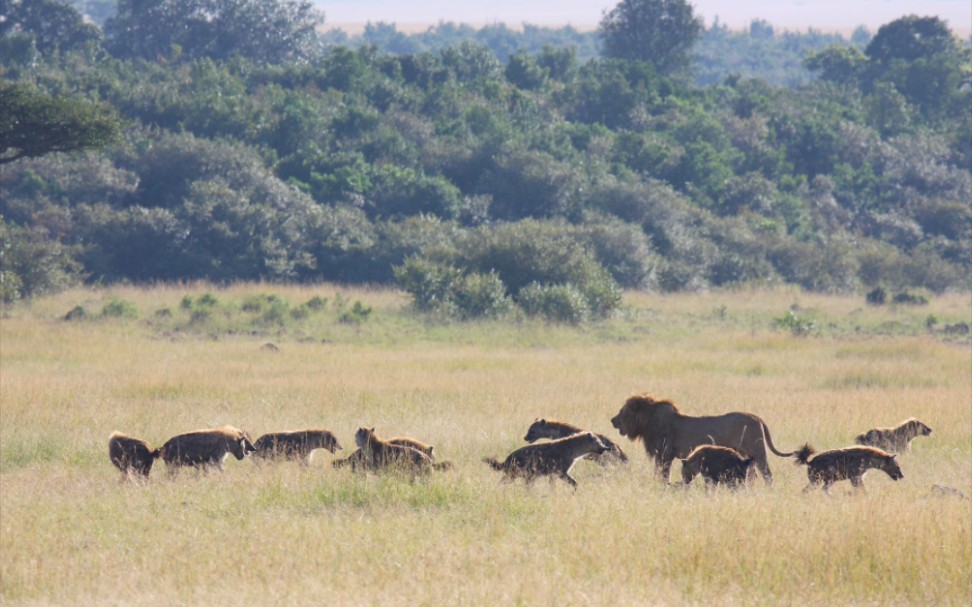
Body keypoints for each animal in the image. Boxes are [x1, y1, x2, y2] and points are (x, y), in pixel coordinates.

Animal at [612, 394, 792, 484]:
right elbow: (657, 473)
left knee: (767, 475)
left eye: (625, 410)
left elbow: (663, 475)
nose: (612, 420)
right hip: (746, 454)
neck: (648, 422)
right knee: (752, 475)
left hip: (758, 451)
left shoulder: (665, 455)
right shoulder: (659, 456)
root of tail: (756, 417)